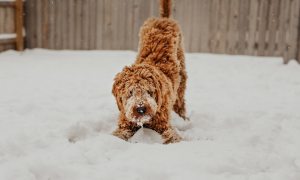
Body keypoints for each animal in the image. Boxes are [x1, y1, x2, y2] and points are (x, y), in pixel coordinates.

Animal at [112, 0, 188, 143]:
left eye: (149, 91)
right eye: (130, 92)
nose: (141, 109)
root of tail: (163, 18)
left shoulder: (163, 124)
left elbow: (172, 135)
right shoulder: (125, 122)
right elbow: (118, 134)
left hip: (182, 75)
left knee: (180, 100)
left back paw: (183, 117)